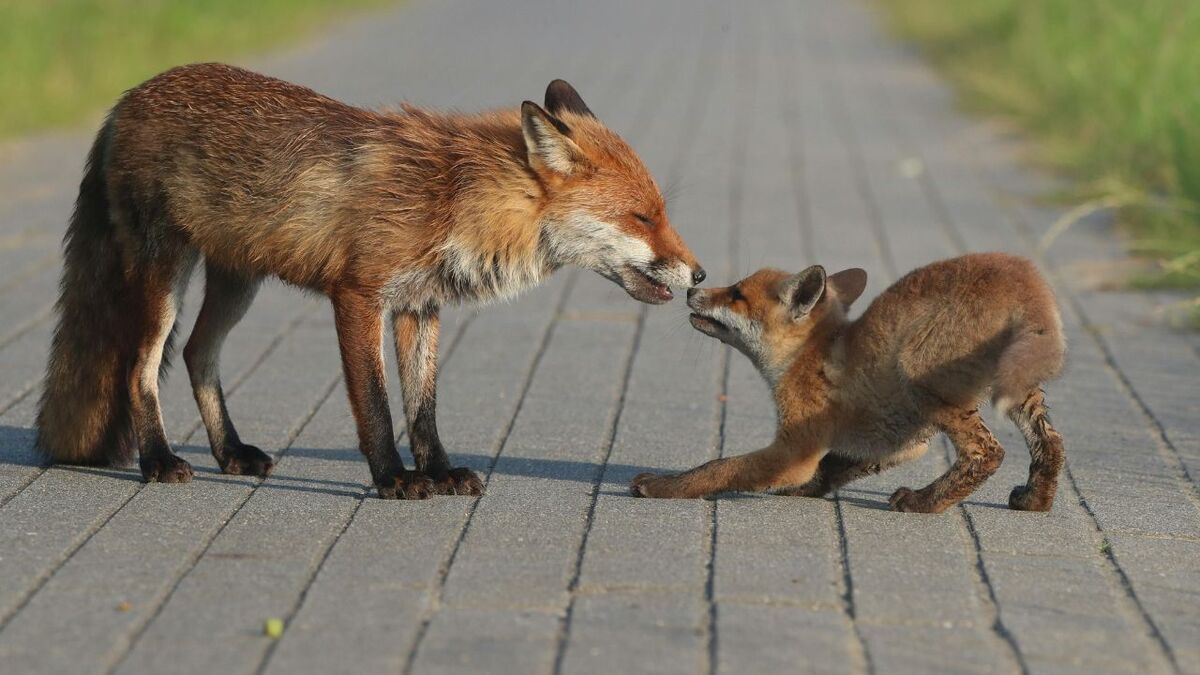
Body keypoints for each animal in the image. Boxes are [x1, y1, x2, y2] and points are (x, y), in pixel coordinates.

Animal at [36, 63, 704, 499]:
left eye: (660, 213)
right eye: (642, 217)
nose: (700, 273)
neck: (453, 197)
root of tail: (128, 97)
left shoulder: (419, 305)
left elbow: (423, 408)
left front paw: (439, 472)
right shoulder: (358, 296)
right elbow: (378, 407)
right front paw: (394, 479)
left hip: (238, 281)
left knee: (200, 355)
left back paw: (230, 453)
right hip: (165, 277)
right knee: (140, 368)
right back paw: (158, 459)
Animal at [631, 253, 1067, 513]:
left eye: (736, 294)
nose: (693, 288)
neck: (809, 354)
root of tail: (1023, 274)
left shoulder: (793, 449)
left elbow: (718, 467)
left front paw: (662, 486)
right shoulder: (901, 443)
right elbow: (831, 467)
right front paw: (806, 490)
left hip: (920, 377)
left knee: (987, 453)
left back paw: (923, 502)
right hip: (1021, 391)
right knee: (1053, 444)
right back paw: (1036, 499)